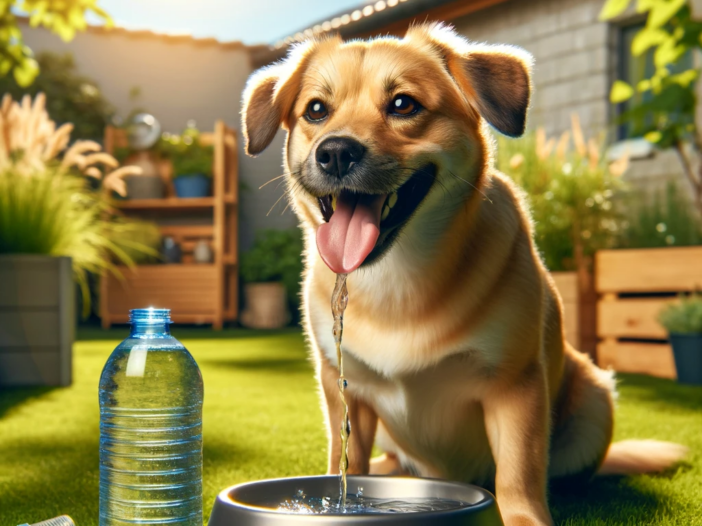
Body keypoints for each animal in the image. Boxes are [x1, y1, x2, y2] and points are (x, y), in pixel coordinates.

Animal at [242, 21, 688, 526]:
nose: (335, 152)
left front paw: (524, 518)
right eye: (316, 110)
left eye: (403, 104)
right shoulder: (342, 387)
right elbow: (346, 460)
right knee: (389, 461)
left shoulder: (515, 388)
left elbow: (517, 476)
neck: (395, 278)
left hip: (595, 397)